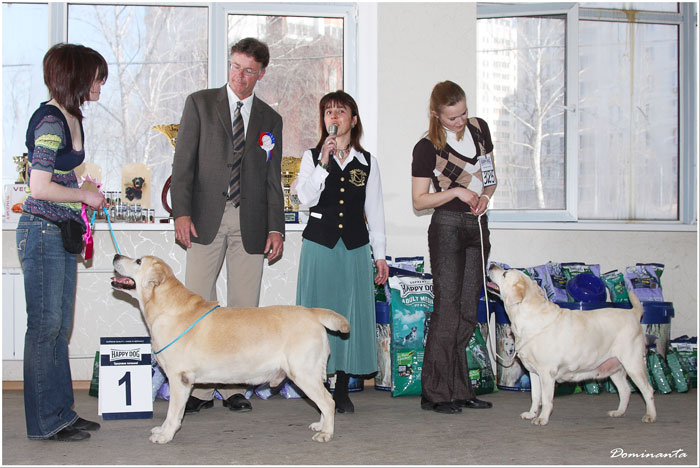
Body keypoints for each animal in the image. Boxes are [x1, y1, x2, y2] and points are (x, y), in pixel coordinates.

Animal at [111, 254, 349, 443]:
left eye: (138, 261)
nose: (115, 255)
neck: (165, 308)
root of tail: (312, 312)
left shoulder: (180, 378)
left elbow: (173, 413)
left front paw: (165, 435)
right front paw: (161, 430)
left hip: (303, 372)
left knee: (328, 401)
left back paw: (326, 433)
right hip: (311, 373)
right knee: (324, 400)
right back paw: (321, 425)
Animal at [488, 264, 656, 426]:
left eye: (505, 274)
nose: (491, 266)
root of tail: (633, 313)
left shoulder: (546, 373)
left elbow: (546, 400)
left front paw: (542, 419)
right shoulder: (534, 372)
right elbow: (535, 396)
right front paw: (531, 414)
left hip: (633, 364)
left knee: (648, 390)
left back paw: (650, 416)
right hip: (615, 368)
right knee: (625, 390)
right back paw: (619, 412)